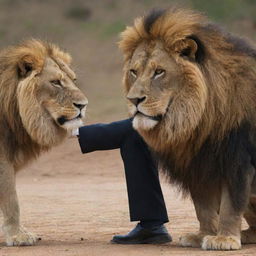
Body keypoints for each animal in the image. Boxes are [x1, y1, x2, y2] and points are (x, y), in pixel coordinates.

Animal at [0, 39, 87, 246]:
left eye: (74, 80)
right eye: (55, 82)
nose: (83, 105)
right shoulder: (2, 159)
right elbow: (11, 199)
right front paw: (18, 236)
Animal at [119, 7, 256, 250]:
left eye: (159, 72)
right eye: (134, 72)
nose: (134, 100)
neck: (197, 118)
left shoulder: (238, 160)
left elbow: (231, 204)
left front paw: (224, 239)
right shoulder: (196, 164)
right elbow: (202, 207)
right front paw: (203, 235)